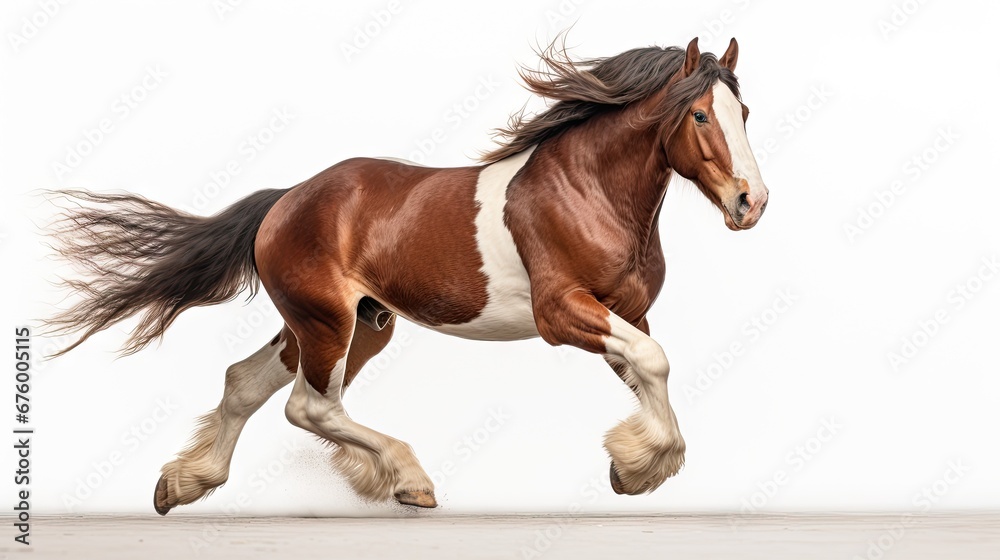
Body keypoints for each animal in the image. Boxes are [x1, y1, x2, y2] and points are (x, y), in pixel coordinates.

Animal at [47, 37, 768, 516]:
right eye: (700, 115)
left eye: (744, 114)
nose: (750, 203)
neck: (586, 191)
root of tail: (285, 200)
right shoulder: (561, 312)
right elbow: (655, 360)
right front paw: (641, 468)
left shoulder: (626, 312)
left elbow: (649, 366)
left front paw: (634, 470)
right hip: (328, 322)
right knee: (309, 405)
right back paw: (407, 480)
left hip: (349, 323)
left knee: (246, 383)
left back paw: (181, 485)